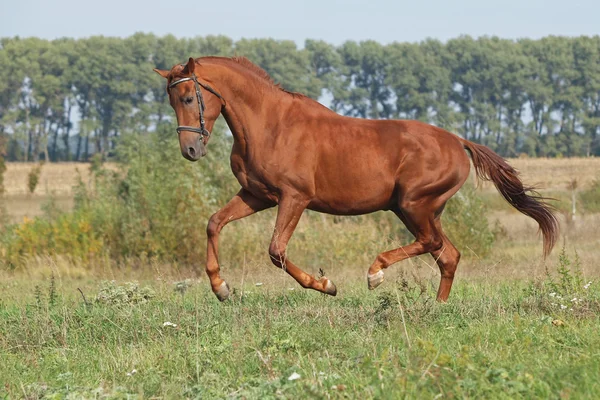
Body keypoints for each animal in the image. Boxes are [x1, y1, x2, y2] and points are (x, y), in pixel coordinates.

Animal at [154, 55, 556, 300]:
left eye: (188, 97)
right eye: (171, 100)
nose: (190, 150)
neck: (270, 125)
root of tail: (459, 142)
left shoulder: (294, 197)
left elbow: (277, 251)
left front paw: (326, 284)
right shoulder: (257, 196)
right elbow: (214, 223)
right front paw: (220, 288)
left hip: (413, 204)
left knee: (432, 244)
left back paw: (375, 273)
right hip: (418, 209)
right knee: (448, 255)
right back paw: (436, 307)